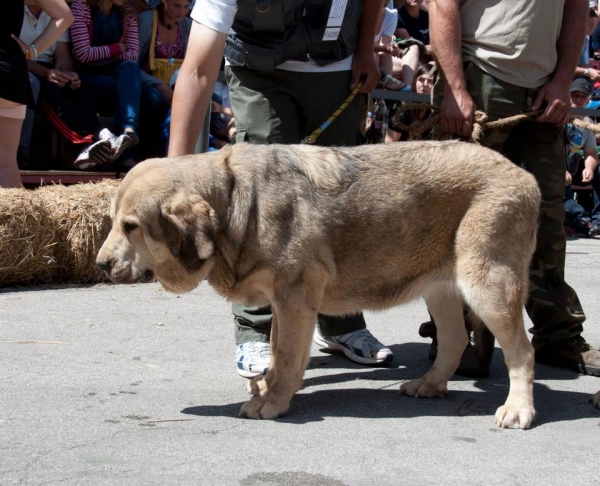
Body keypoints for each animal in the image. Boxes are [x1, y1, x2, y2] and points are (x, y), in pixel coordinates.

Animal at [97, 140, 540, 430]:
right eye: (113, 220)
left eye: (132, 226)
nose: (101, 264)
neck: (235, 201)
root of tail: (524, 174)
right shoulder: (280, 303)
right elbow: (277, 353)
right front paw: (267, 387)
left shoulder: (295, 301)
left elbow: (289, 357)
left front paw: (274, 402)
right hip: (443, 290)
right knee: (453, 340)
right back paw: (430, 384)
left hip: (487, 285)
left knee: (521, 351)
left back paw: (518, 409)